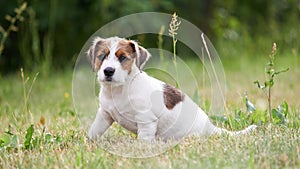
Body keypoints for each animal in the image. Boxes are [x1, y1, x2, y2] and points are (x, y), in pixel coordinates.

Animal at [86, 37, 255, 141]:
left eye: (122, 57)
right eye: (102, 56)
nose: (108, 71)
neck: (119, 90)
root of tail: (211, 128)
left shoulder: (146, 121)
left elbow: (143, 141)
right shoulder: (105, 114)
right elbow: (94, 130)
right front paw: (88, 142)